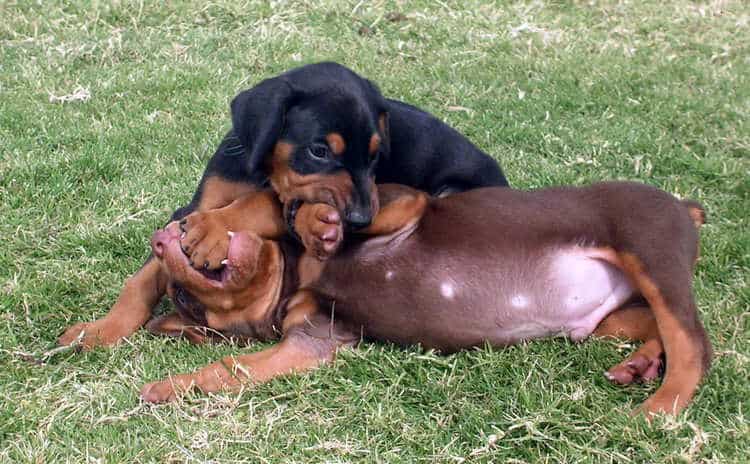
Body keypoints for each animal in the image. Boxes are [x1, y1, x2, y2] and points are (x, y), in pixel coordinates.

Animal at [57, 62, 506, 348]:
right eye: (319, 150)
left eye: (376, 155)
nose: (361, 219)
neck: (260, 170)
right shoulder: (196, 204)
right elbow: (143, 279)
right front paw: (100, 330)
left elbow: (262, 201)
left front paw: (214, 230)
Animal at [140, 183, 712, 418]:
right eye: (185, 303)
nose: (161, 240)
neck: (300, 279)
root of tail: (682, 205)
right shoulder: (310, 343)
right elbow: (228, 368)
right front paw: (170, 387)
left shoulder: (403, 203)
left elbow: (288, 204)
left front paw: (222, 225)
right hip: (606, 317)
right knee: (656, 327)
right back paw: (641, 365)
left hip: (649, 251)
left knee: (694, 343)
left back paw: (659, 406)